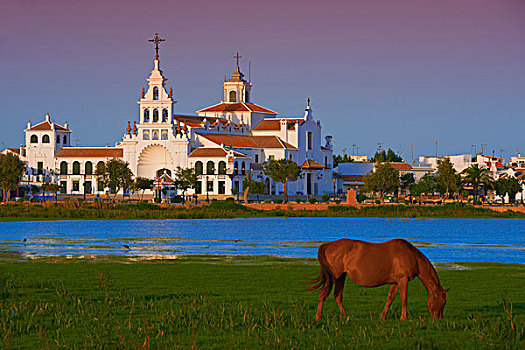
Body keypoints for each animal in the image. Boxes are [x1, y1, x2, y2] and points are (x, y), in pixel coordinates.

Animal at [310, 239, 448, 322]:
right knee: (322, 294)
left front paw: (382, 316)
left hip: (341, 277)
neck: (412, 256)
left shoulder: (395, 282)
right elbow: (404, 299)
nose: (438, 319)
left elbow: (390, 299)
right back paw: (318, 317)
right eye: (443, 302)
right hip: (334, 277)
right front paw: (403, 317)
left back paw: (345, 316)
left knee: (337, 296)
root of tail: (328, 245)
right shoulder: (402, 280)